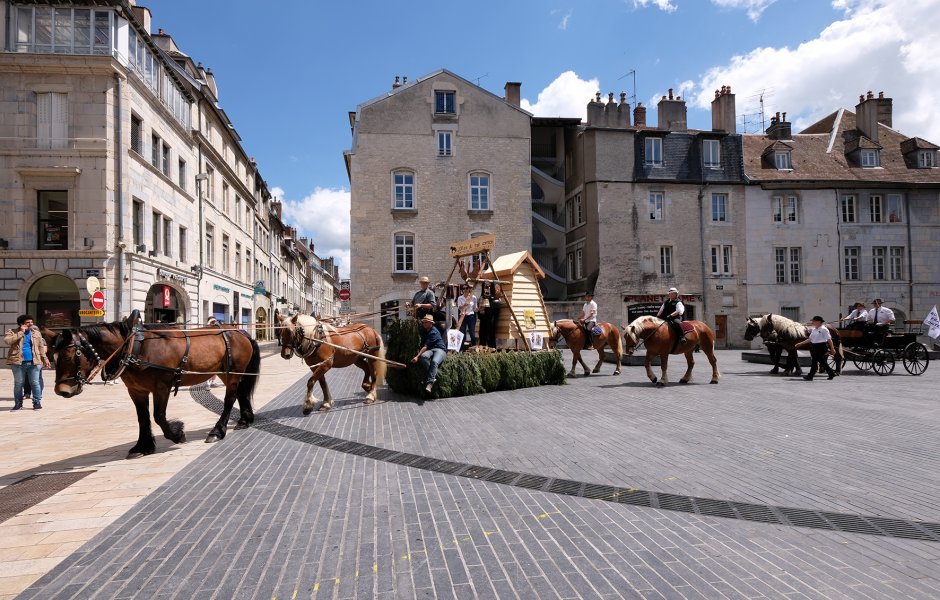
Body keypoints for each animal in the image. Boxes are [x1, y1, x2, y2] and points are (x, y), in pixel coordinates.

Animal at [49, 314, 258, 454]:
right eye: (54, 357)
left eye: (69, 356)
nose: (61, 390)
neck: (135, 347)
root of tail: (240, 332)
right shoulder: (136, 391)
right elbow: (143, 418)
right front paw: (143, 445)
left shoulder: (161, 388)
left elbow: (158, 416)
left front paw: (177, 434)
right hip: (227, 373)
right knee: (241, 393)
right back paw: (244, 420)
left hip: (233, 373)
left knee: (230, 399)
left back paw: (217, 431)